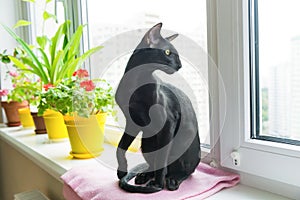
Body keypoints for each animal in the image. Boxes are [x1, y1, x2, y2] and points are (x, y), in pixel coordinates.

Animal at [116, 22, 200, 193]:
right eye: (167, 52)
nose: (180, 65)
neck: (134, 83)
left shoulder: (167, 123)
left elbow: (162, 159)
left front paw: (157, 185)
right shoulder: (132, 123)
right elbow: (120, 148)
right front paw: (122, 171)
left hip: (182, 141)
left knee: (184, 171)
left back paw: (171, 180)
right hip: (147, 142)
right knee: (153, 164)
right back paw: (144, 176)